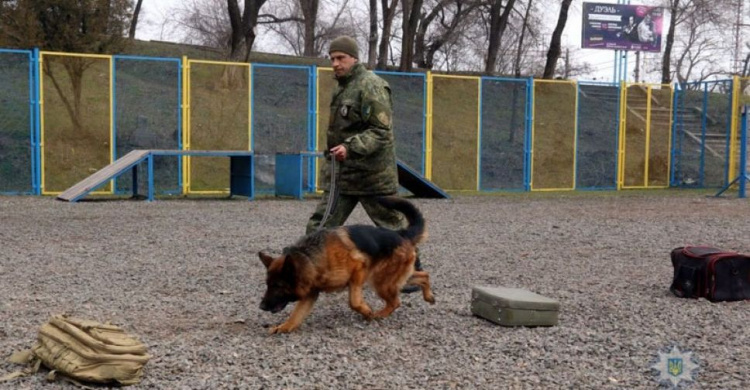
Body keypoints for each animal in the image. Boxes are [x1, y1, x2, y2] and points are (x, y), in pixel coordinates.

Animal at [258, 197, 434, 334]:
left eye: (278, 286)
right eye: (268, 284)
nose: (261, 306)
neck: (310, 258)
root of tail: (401, 234)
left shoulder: (358, 269)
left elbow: (354, 301)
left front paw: (366, 311)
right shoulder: (311, 293)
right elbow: (296, 315)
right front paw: (284, 326)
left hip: (381, 282)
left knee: (396, 302)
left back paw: (379, 314)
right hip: (391, 278)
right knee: (424, 275)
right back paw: (429, 296)